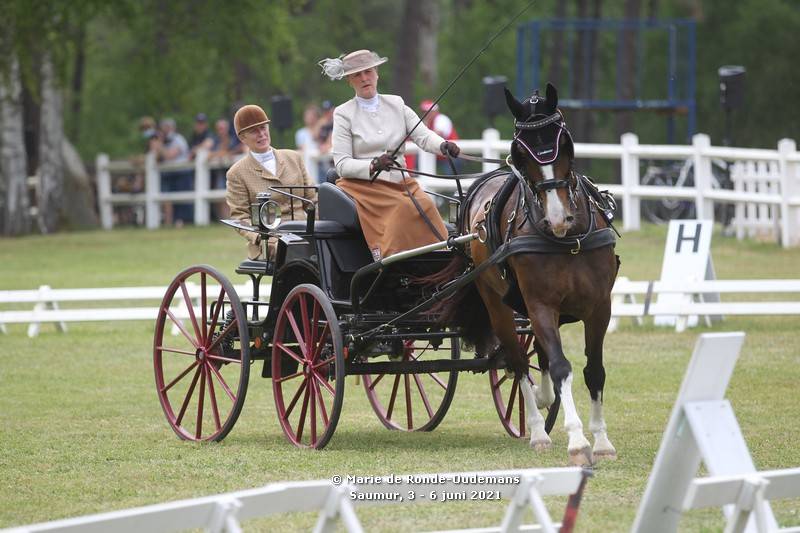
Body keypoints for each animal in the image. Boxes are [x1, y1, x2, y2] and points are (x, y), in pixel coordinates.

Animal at [439, 83, 619, 465]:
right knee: (519, 359)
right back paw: (537, 428)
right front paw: (578, 441)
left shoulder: (600, 306)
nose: (557, 217)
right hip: (498, 303)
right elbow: (561, 366)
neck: (567, 241)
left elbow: (593, 370)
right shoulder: (540, 305)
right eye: (519, 152)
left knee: (535, 352)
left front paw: (602, 440)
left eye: (564, 141)